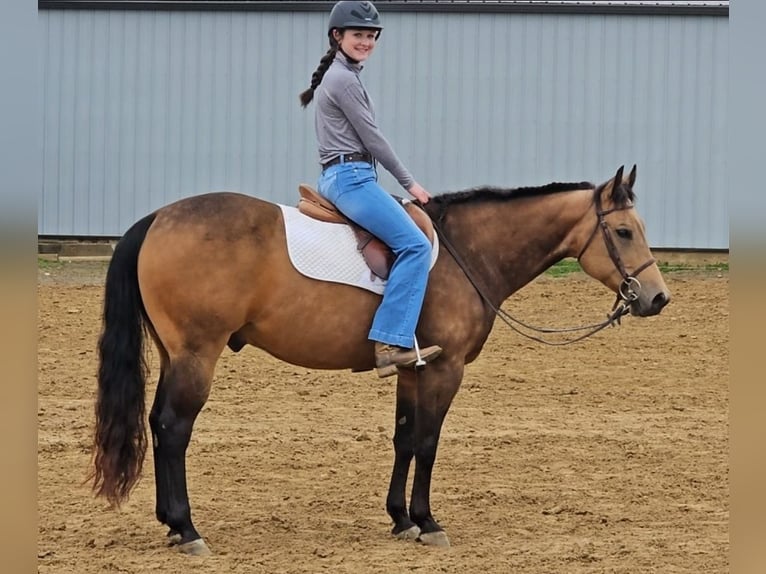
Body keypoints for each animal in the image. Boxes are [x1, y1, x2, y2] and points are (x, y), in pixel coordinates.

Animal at [90, 164, 670, 555]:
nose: (658, 298)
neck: (465, 251)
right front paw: (428, 521)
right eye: (623, 231)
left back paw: (171, 524)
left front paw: (401, 519)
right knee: (174, 428)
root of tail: (158, 219)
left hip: (175, 355)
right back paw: (187, 528)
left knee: (158, 425)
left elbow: (404, 437)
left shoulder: (413, 368)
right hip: (196, 356)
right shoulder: (446, 368)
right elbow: (429, 441)